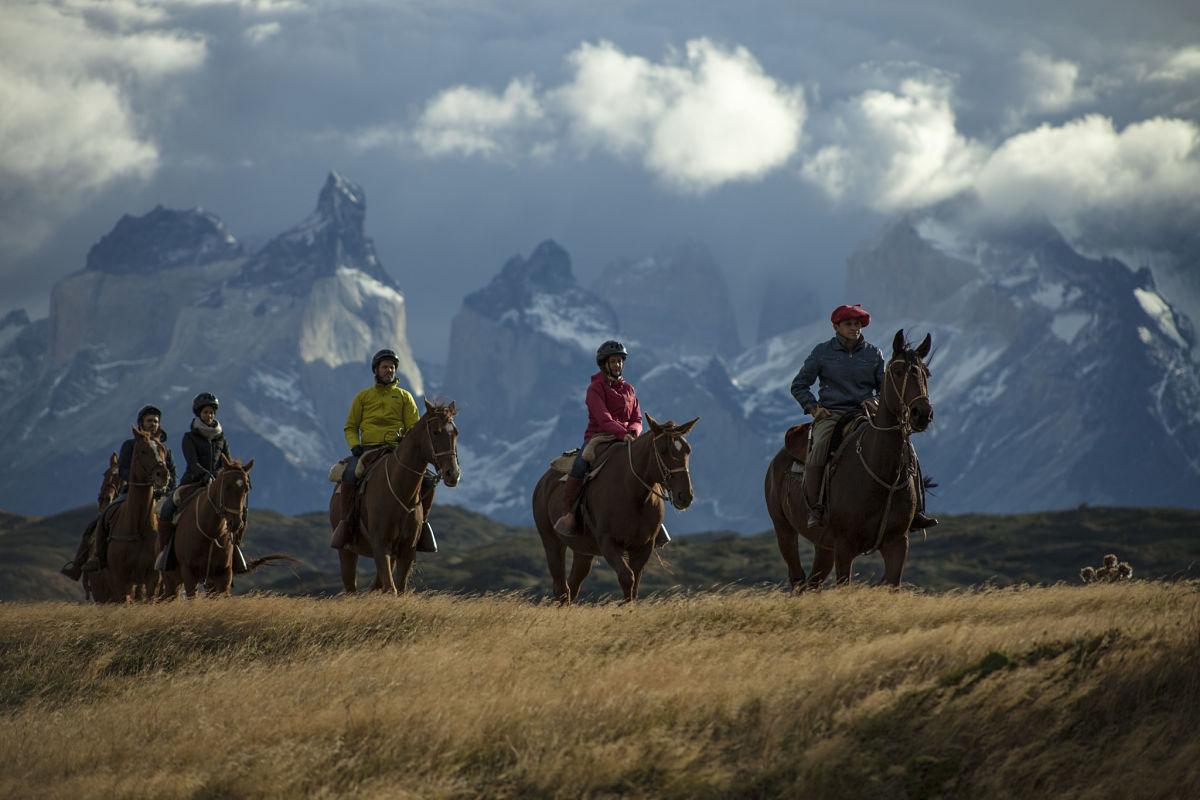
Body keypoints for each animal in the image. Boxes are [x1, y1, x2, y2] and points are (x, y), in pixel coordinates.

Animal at [328, 400, 463, 594]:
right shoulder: (380, 546)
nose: (453, 474)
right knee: (351, 587)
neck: (400, 490)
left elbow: (399, 588)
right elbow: (391, 589)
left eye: (456, 433)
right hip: (347, 552)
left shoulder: (407, 550)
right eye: (436, 431)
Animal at [530, 417, 700, 604]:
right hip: (552, 541)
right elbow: (627, 578)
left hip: (583, 551)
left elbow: (635, 585)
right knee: (561, 587)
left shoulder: (644, 547)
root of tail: (543, 482)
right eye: (663, 451)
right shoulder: (608, 543)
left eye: (688, 450)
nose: (685, 496)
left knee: (572, 586)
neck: (633, 494)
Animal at [763, 328, 931, 592]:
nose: (921, 414)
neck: (880, 471)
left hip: (823, 546)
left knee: (812, 583)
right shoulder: (844, 547)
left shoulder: (897, 543)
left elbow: (893, 584)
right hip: (784, 530)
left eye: (927, 373)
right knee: (798, 580)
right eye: (897, 372)